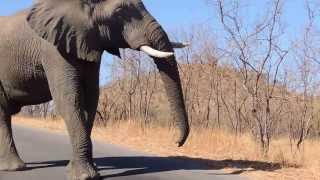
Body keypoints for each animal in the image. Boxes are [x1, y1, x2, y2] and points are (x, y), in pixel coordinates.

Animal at [0, 0, 190, 179]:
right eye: (120, 12)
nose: (176, 143)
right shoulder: (52, 49)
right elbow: (69, 99)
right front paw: (84, 176)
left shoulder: (88, 42)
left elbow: (90, 99)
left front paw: (86, 170)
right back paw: (15, 167)